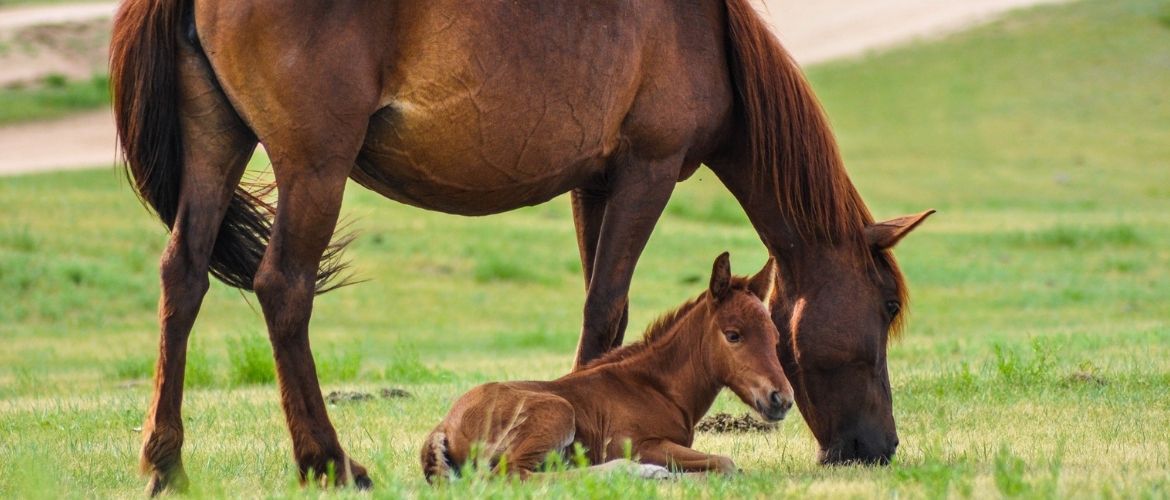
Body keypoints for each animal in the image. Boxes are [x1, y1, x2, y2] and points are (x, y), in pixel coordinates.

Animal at [421, 254, 795, 482]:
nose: (782, 399)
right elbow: (726, 463)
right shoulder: (637, 443)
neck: (656, 387)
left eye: (775, 336)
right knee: (517, 476)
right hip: (556, 412)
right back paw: (637, 472)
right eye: (733, 335)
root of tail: (444, 426)